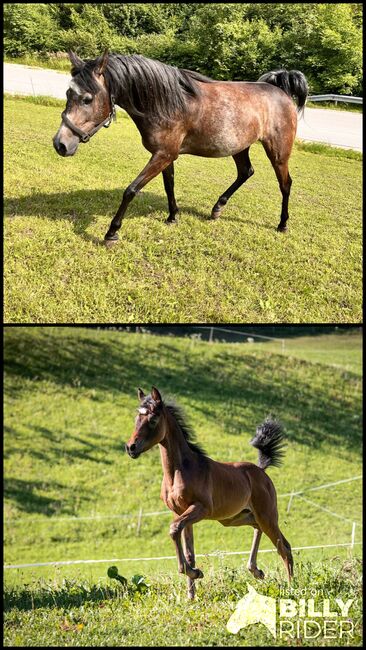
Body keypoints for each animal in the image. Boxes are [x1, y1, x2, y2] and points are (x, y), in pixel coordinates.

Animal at [53, 50, 308, 243]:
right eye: (67, 93)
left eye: (87, 99)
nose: (60, 144)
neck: (167, 104)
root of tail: (281, 91)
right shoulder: (166, 155)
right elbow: (169, 185)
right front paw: (172, 216)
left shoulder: (163, 155)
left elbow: (131, 190)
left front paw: (112, 232)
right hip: (239, 147)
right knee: (246, 172)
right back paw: (217, 208)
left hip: (278, 152)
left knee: (285, 184)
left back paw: (282, 224)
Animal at [124, 384, 294, 596]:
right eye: (136, 419)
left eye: (153, 419)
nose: (131, 447)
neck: (180, 470)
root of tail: (261, 470)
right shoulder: (180, 512)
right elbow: (188, 551)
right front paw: (191, 594)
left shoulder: (201, 508)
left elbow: (173, 529)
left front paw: (195, 573)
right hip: (237, 518)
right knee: (260, 530)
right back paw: (256, 570)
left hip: (267, 515)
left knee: (284, 547)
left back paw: (291, 587)